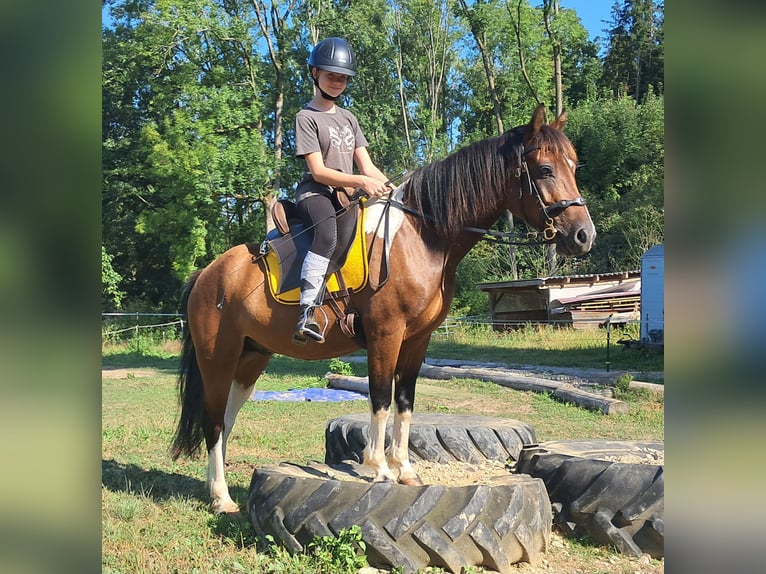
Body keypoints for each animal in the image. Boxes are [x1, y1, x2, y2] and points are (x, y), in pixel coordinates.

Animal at [171, 106, 596, 516]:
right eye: (545, 169)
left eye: (575, 166)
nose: (584, 235)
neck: (422, 236)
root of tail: (208, 274)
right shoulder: (384, 334)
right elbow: (379, 398)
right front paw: (379, 468)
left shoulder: (417, 340)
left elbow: (404, 402)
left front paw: (404, 469)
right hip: (218, 359)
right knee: (213, 422)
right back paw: (222, 498)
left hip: (251, 359)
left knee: (226, 421)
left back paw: (217, 489)